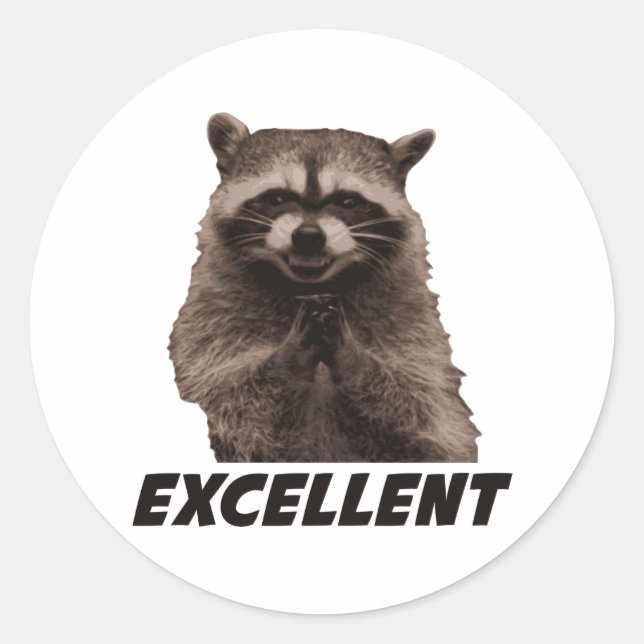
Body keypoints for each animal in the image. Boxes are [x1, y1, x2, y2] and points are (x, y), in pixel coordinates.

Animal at [169, 113, 480, 462]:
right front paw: (288, 360)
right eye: (277, 197)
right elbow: (230, 405)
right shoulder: (211, 317)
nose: (308, 236)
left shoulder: (412, 323)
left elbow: (429, 421)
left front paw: (354, 358)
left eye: (348, 200)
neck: (305, 288)